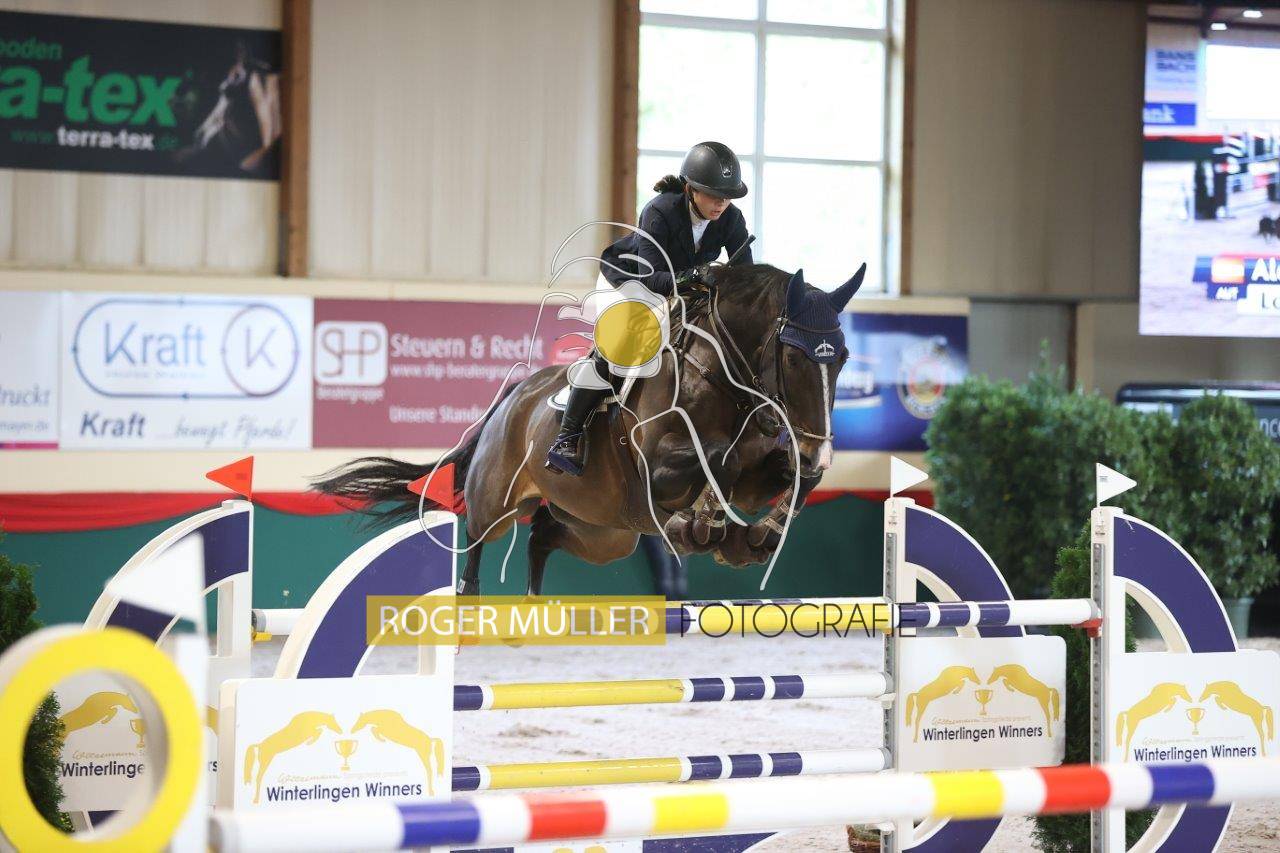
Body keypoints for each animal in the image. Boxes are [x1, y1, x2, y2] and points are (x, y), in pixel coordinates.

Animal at [314, 263, 864, 596]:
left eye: (842, 358)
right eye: (793, 358)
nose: (818, 450)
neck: (722, 379)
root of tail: (513, 395)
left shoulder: (757, 475)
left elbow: (790, 478)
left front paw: (756, 536)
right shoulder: (660, 470)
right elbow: (717, 458)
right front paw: (702, 525)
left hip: (604, 532)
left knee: (543, 534)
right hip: (500, 498)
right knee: (476, 530)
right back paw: (469, 598)